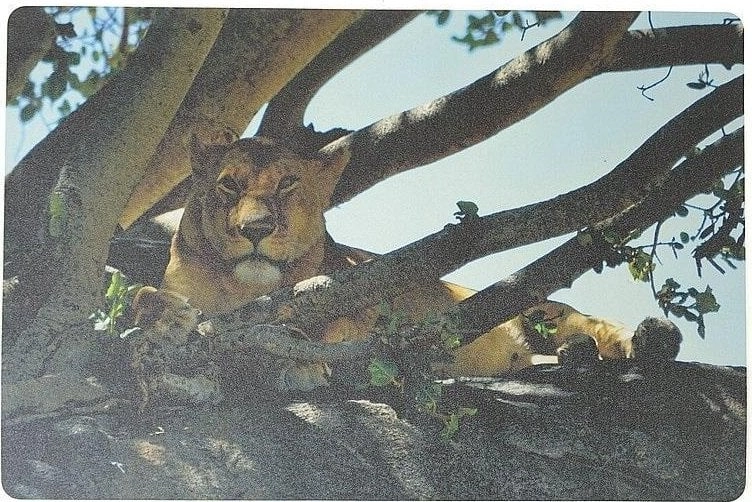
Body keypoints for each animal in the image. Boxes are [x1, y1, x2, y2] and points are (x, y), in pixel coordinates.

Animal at [132, 136, 681, 390]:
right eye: (228, 185)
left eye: (288, 184)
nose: (255, 230)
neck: (245, 289)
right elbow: (144, 297)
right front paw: (167, 315)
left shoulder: (359, 302)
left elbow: (328, 335)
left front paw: (299, 358)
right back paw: (575, 358)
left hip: (535, 306)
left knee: (599, 327)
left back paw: (646, 339)